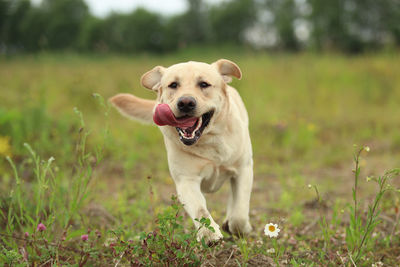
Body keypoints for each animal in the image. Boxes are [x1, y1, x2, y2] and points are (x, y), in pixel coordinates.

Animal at [109, 59, 253, 244]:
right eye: (173, 85)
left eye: (204, 84)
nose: (185, 102)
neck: (207, 141)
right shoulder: (186, 180)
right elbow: (200, 210)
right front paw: (209, 234)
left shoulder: (243, 169)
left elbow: (240, 213)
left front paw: (237, 227)